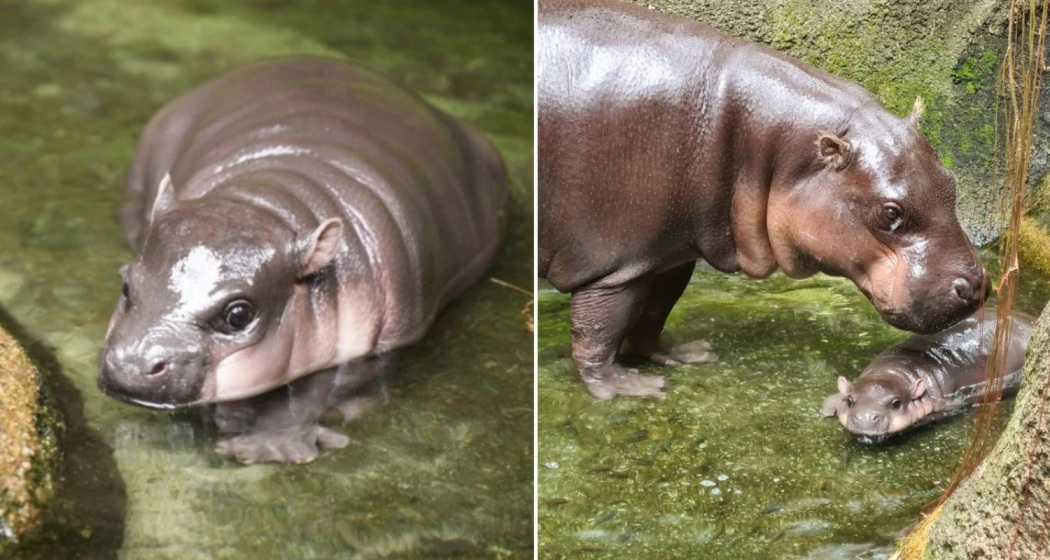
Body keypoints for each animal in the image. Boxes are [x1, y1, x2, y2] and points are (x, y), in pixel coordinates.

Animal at [97, 57, 508, 462]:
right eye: (126, 285)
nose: (132, 364)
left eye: (238, 314)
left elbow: (323, 388)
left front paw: (268, 446)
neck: (268, 200)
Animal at [537, 1, 986, 401]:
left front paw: (686, 354)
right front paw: (625, 387)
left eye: (951, 181)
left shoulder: (671, 253)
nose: (977, 284)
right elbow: (599, 327)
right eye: (890, 212)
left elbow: (655, 311)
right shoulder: (614, 263)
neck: (771, 149)